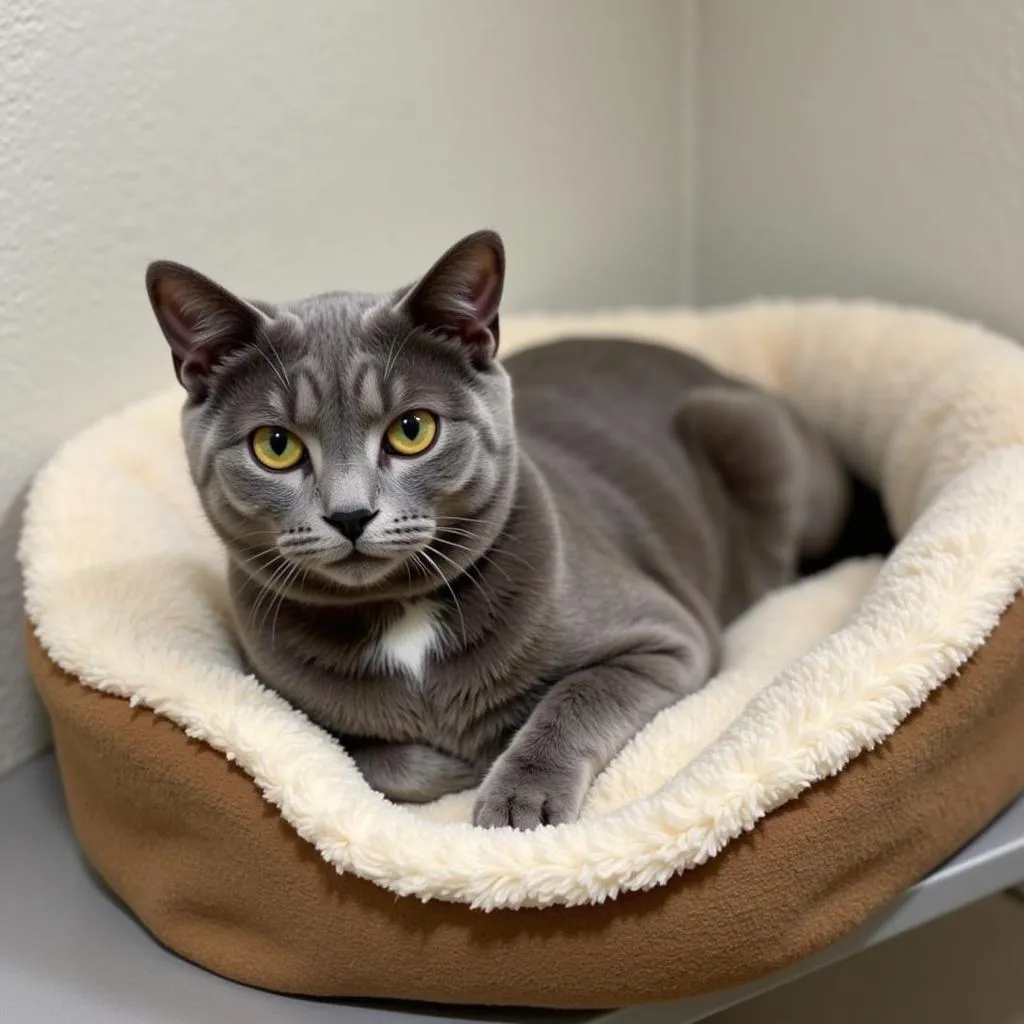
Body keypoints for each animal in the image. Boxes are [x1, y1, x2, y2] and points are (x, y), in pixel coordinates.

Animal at [144, 228, 847, 827]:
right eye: (276, 446)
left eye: (412, 429)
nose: (350, 514)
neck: (401, 614)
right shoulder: (287, 705)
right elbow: (367, 755)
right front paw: (459, 763)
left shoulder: (665, 639)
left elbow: (574, 699)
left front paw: (518, 799)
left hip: (745, 429)